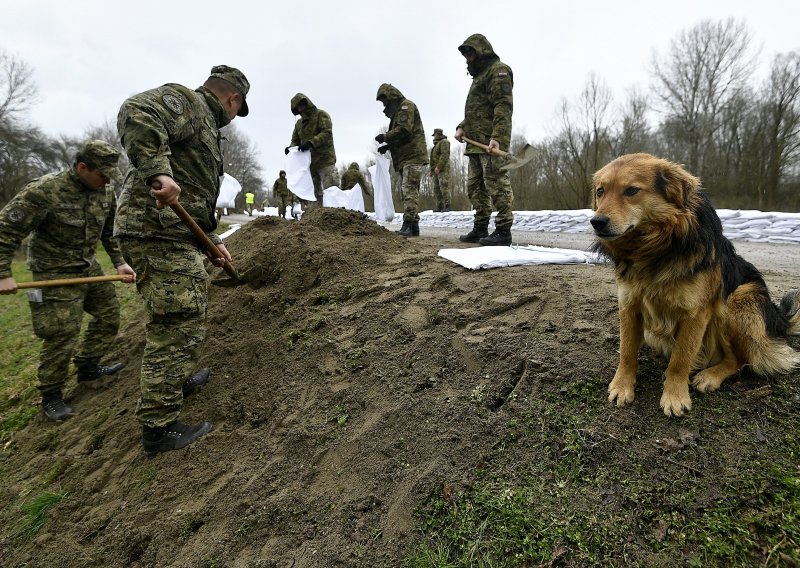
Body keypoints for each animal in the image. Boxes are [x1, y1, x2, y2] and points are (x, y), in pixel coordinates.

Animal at [588, 153, 800, 414]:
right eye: (600, 191)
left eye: (631, 190)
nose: (596, 221)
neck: (655, 248)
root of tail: (777, 316)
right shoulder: (629, 304)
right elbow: (627, 351)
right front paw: (621, 386)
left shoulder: (695, 313)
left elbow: (680, 358)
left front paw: (674, 396)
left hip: (738, 300)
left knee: (740, 359)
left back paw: (710, 376)